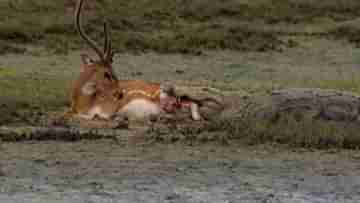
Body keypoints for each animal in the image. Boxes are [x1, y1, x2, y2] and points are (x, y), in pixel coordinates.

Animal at [68, 0, 224, 122]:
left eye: (113, 71)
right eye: (107, 73)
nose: (120, 94)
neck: (82, 103)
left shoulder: (107, 110)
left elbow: (96, 116)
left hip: (180, 90)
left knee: (201, 105)